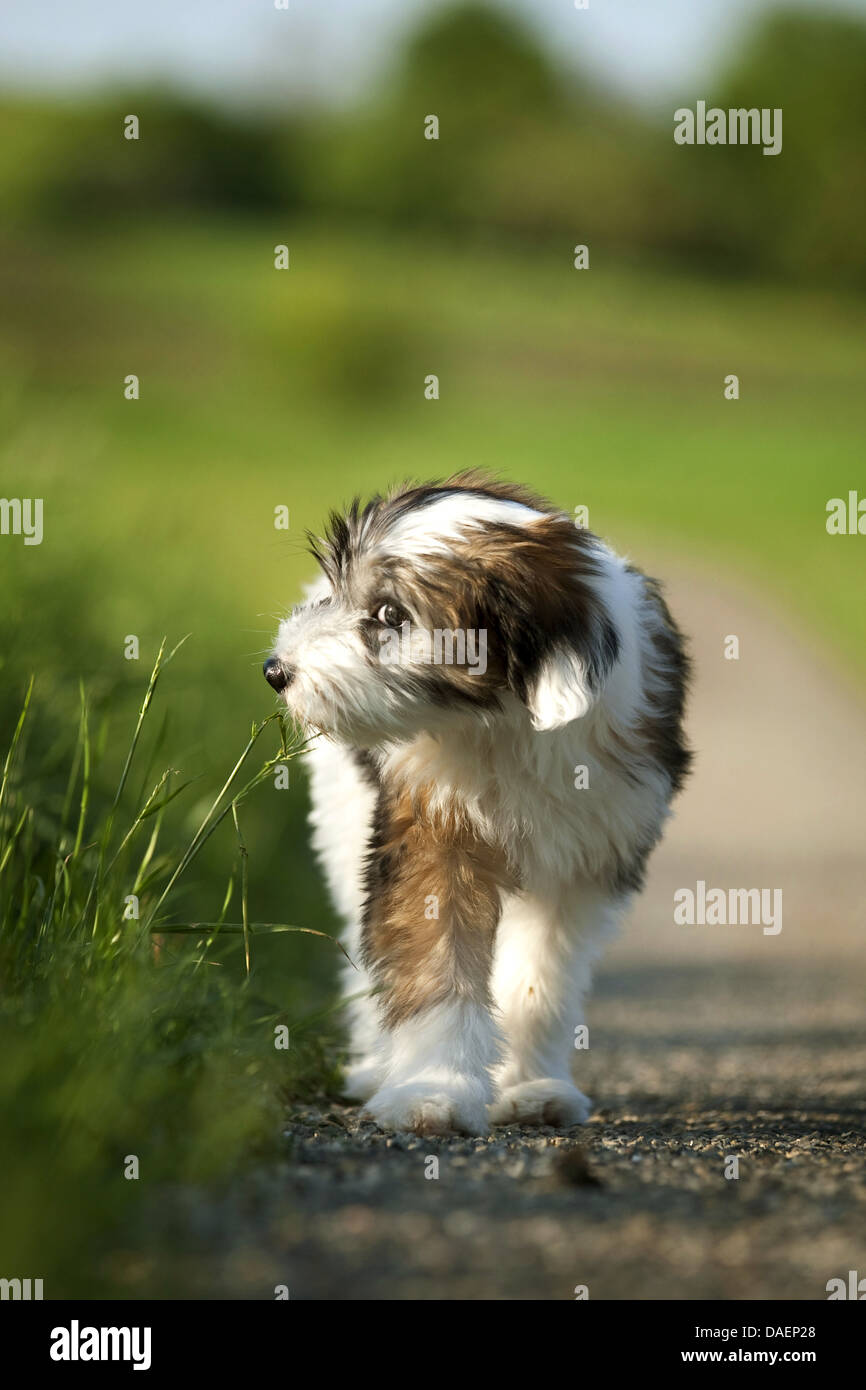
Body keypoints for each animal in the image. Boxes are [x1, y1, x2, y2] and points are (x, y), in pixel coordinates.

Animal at [264, 472, 692, 1134]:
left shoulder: (586, 856)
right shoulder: (429, 830)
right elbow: (433, 960)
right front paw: (431, 1091)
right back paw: (374, 1066)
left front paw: (533, 1087)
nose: (276, 670)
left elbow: (540, 978)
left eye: (390, 614)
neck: (504, 720)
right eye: (342, 590)